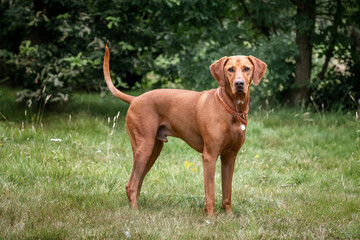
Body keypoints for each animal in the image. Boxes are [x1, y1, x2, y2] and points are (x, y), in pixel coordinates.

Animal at [102, 46, 266, 217]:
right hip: (144, 148)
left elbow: (227, 192)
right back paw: (135, 213)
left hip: (153, 150)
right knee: (132, 185)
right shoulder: (209, 156)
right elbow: (211, 193)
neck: (232, 110)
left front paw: (229, 216)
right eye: (230, 69)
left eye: (246, 68)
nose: (239, 83)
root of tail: (135, 99)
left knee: (137, 181)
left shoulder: (230, 157)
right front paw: (211, 218)